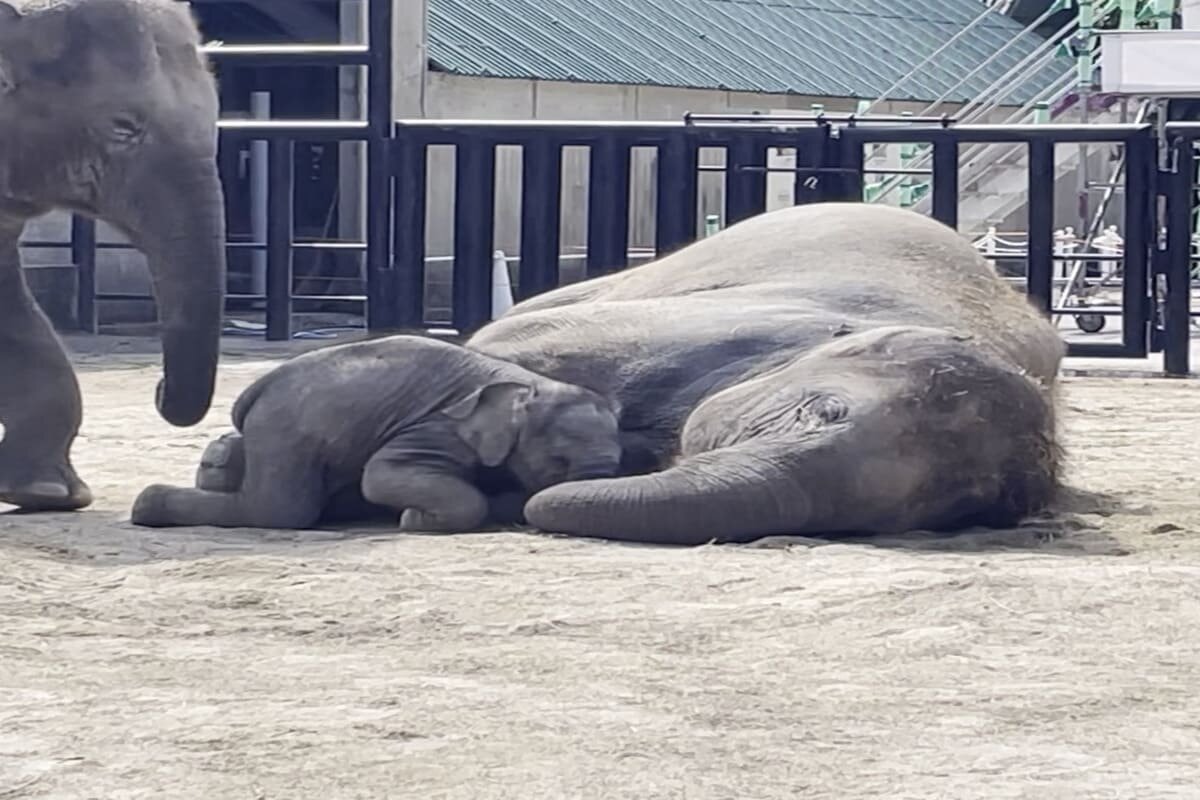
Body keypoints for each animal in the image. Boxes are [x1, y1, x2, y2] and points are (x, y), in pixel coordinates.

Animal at [129, 334, 623, 531]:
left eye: (620, 463)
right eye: (559, 462)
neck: (524, 381)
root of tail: (256, 388)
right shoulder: (439, 427)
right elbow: (381, 474)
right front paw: (413, 520)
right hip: (288, 430)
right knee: (279, 510)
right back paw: (147, 506)